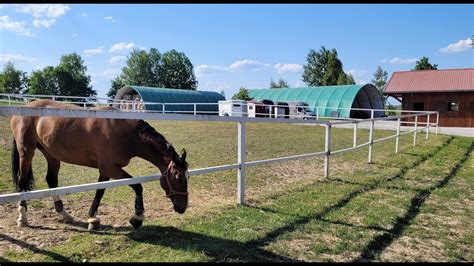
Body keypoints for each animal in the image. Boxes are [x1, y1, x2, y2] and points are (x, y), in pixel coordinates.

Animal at [11, 100, 189, 231]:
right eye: (179, 177)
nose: (183, 208)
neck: (125, 133)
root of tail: (23, 108)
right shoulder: (110, 168)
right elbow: (137, 186)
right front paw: (137, 218)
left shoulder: (106, 170)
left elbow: (100, 191)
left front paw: (92, 218)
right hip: (26, 152)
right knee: (22, 180)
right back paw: (22, 217)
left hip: (52, 155)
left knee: (51, 181)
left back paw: (65, 215)